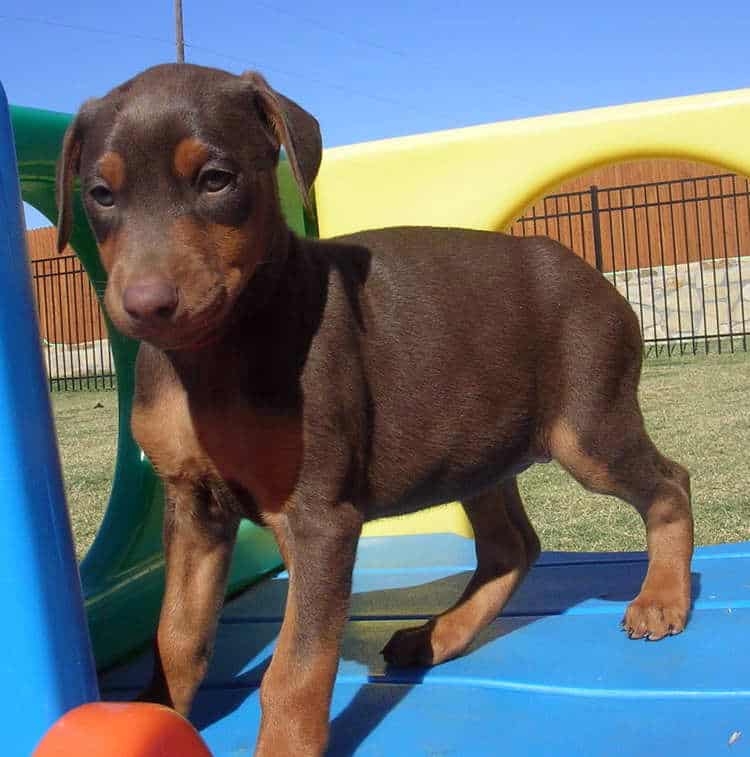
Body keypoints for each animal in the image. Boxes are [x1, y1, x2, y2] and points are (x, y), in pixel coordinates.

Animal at [55, 63, 696, 752]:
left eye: (216, 180)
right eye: (101, 194)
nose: (146, 306)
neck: (212, 354)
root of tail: (596, 278)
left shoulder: (319, 516)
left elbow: (296, 668)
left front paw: (282, 747)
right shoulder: (193, 506)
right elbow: (176, 633)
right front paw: (155, 713)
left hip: (586, 431)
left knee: (669, 483)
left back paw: (663, 598)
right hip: (477, 450)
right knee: (513, 546)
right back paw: (437, 635)